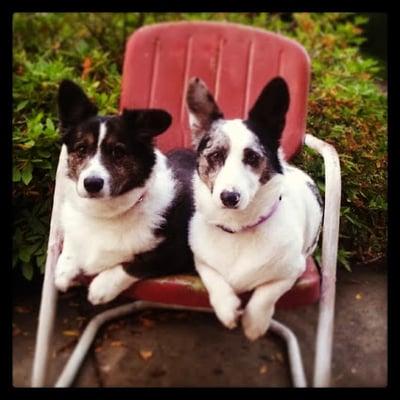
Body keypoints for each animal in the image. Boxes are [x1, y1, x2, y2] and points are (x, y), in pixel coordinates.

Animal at [54, 82, 195, 306]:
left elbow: (135, 264)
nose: (92, 184)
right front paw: (64, 270)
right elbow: (69, 248)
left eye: (118, 152)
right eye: (81, 148)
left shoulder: (177, 252)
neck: (105, 214)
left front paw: (101, 287)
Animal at [187, 76, 322, 340]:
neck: (237, 228)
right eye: (215, 155)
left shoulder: (293, 270)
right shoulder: (200, 261)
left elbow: (265, 294)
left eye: (252, 157)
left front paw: (254, 325)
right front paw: (227, 308)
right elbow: (213, 278)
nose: (230, 197)